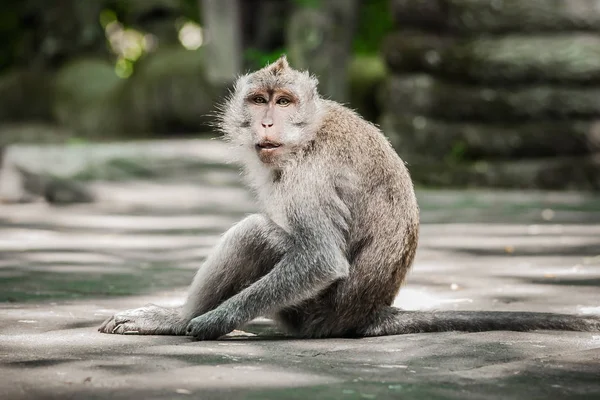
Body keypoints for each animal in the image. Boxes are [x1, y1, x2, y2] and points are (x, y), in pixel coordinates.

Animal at [96, 54, 596, 340]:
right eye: (259, 101)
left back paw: (177, 319)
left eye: (283, 102)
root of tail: (369, 312)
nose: (267, 123)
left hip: (314, 314)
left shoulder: (311, 176)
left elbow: (320, 259)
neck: (307, 133)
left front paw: (210, 322)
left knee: (256, 233)